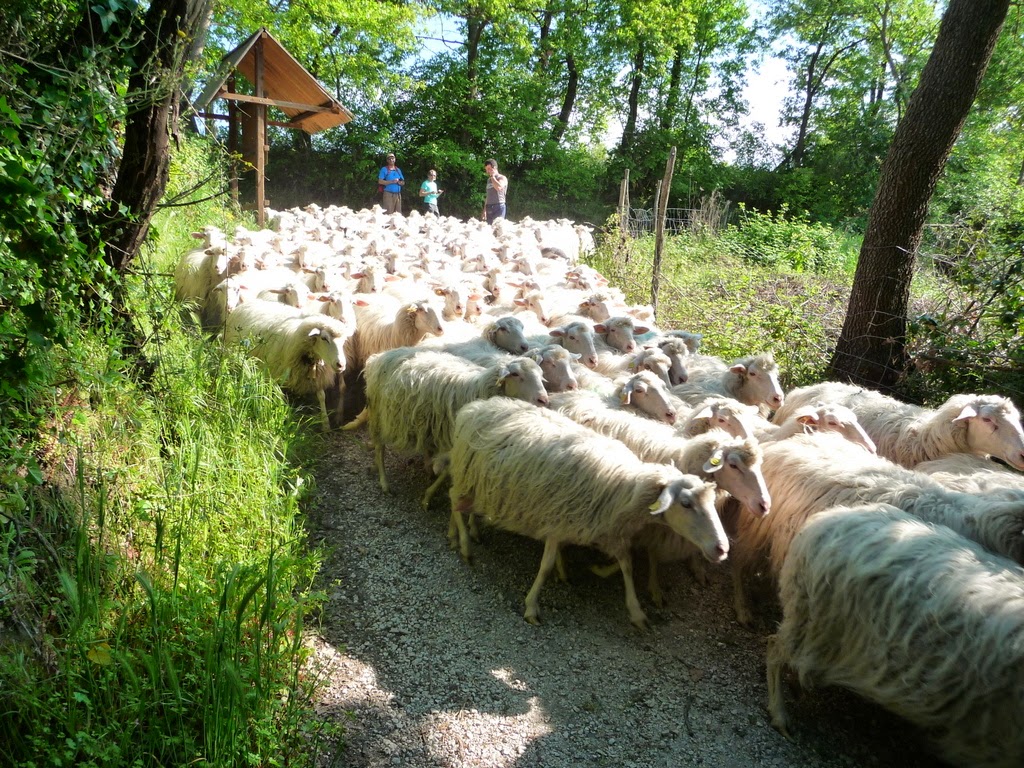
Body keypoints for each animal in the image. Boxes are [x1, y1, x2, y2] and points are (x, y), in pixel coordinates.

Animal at [448, 399, 729, 626]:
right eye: (686, 504)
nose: (722, 549)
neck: (624, 486)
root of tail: (476, 406)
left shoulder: (608, 531)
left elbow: (626, 565)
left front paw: (635, 611)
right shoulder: (557, 520)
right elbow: (545, 566)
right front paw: (532, 606)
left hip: (485, 484)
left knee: (467, 504)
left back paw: (469, 531)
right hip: (467, 474)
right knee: (452, 498)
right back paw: (462, 543)